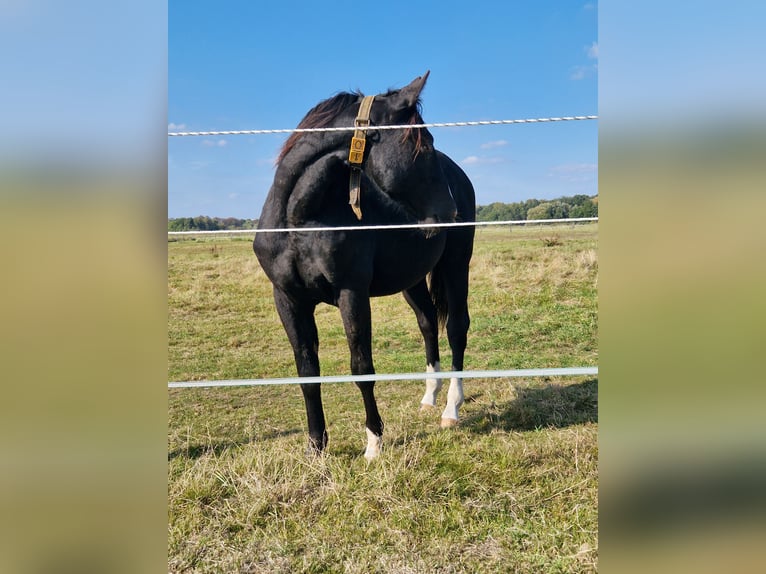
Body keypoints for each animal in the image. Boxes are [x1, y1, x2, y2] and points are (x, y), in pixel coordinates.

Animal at [253, 72, 475, 459]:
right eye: (424, 146)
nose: (450, 213)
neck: (298, 219)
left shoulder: (351, 293)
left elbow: (361, 368)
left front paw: (374, 442)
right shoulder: (288, 299)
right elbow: (307, 371)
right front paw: (316, 448)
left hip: (456, 265)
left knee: (456, 328)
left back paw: (451, 409)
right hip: (412, 279)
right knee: (427, 323)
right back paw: (429, 396)